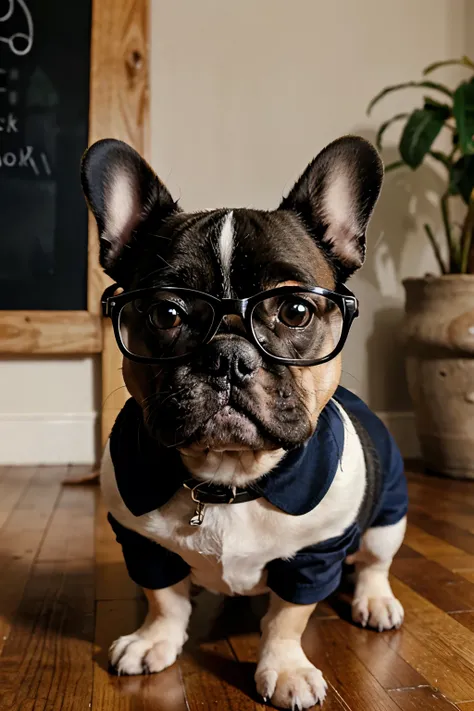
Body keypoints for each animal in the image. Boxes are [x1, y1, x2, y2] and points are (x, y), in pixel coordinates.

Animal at [81, 136, 408, 708]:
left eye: (296, 311)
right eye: (166, 314)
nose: (228, 357)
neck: (228, 479)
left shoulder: (315, 556)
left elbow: (287, 617)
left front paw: (286, 668)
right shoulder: (141, 544)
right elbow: (164, 598)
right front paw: (153, 640)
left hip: (389, 517)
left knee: (374, 562)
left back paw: (375, 602)